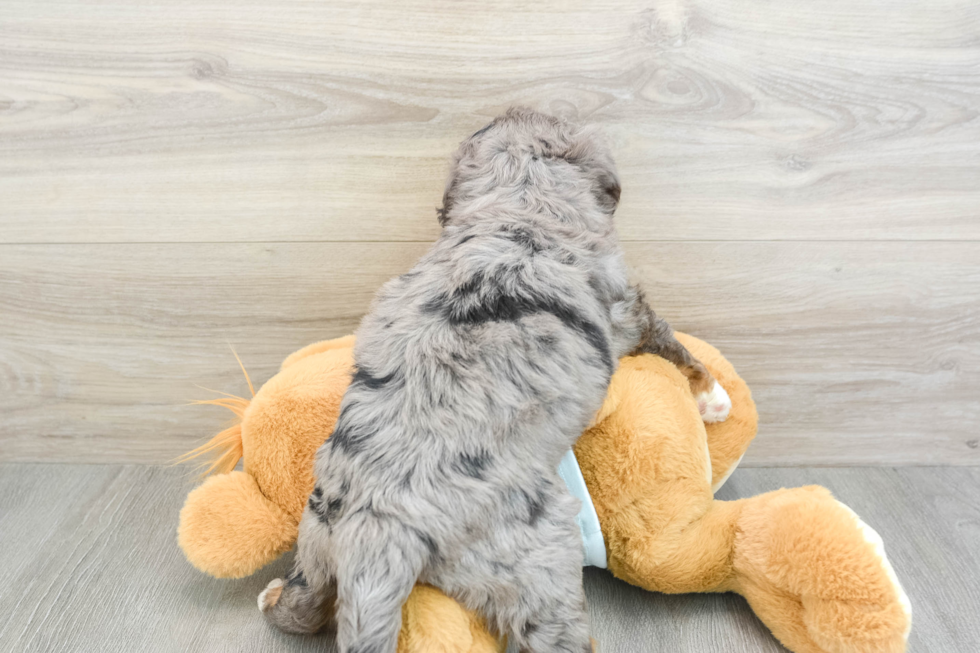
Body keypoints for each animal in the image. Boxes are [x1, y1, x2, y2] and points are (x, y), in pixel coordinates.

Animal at [256, 109, 732, 648]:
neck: (520, 204)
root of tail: (379, 530)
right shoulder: (627, 307)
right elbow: (673, 342)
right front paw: (714, 398)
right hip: (538, 564)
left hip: (318, 537)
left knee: (304, 608)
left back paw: (273, 595)